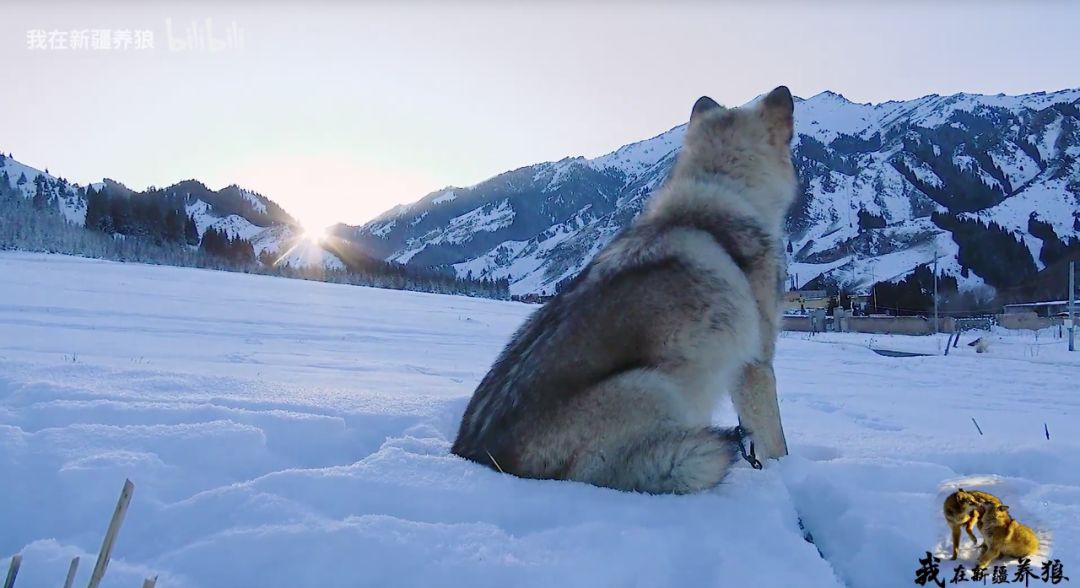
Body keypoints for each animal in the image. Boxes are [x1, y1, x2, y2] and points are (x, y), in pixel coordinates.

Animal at [451, 85, 799, 490]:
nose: (784, 91)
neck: (721, 189)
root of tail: (477, 457)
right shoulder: (755, 363)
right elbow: (776, 442)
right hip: (655, 385)